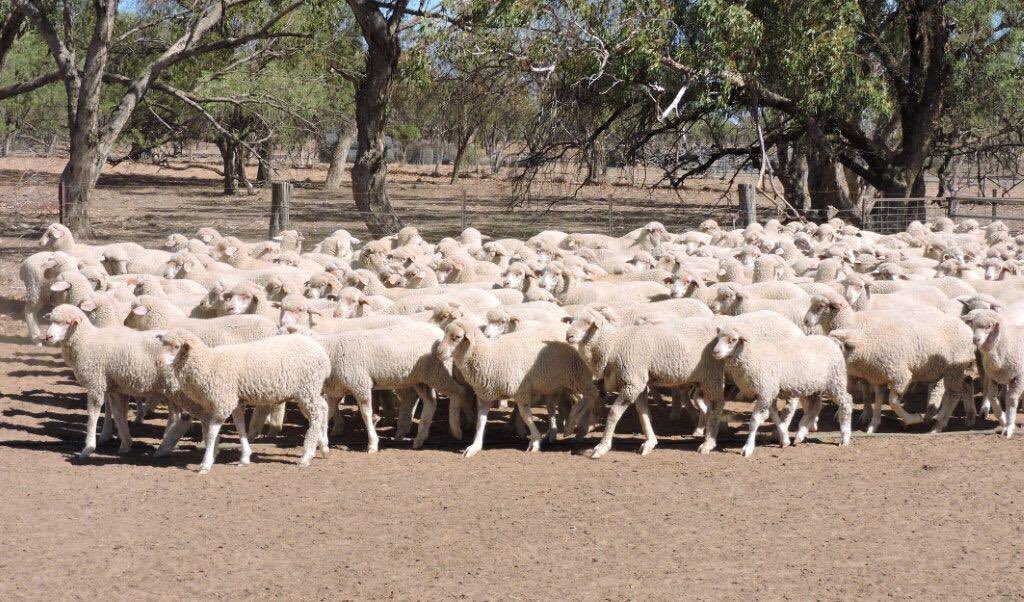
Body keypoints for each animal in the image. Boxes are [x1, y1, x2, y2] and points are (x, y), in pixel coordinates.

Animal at [156, 330, 330, 473]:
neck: (210, 363)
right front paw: (245, 457)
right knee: (323, 408)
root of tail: (322, 353)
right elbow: (240, 427)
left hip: (307, 388)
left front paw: (206, 463)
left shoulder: (223, 401)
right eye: (162, 344)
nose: (158, 362)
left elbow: (211, 434)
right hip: (311, 389)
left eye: (176, 346)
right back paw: (323, 446)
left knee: (316, 415)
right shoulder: (236, 400)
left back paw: (306, 455)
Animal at [436, 318, 600, 457]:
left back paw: (576, 425)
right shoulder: (485, 396)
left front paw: (535, 441)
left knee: (593, 394)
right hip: (562, 382)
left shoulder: (520, 392)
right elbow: (480, 422)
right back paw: (566, 427)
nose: (438, 353)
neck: (489, 354)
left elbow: (526, 416)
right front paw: (474, 447)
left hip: (578, 376)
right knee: (576, 400)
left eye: (457, 337)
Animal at [712, 327, 852, 457]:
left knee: (846, 402)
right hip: (813, 386)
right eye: (717, 338)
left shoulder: (765, 392)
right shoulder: (769, 393)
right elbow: (775, 417)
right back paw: (800, 434)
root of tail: (830, 340)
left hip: (835, 380)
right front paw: (784, 439)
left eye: (733, 340)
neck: (754, 356)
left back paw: (845, 436)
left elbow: (754, 421)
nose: (715, 352)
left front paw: (748, 448)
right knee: (816, 406)